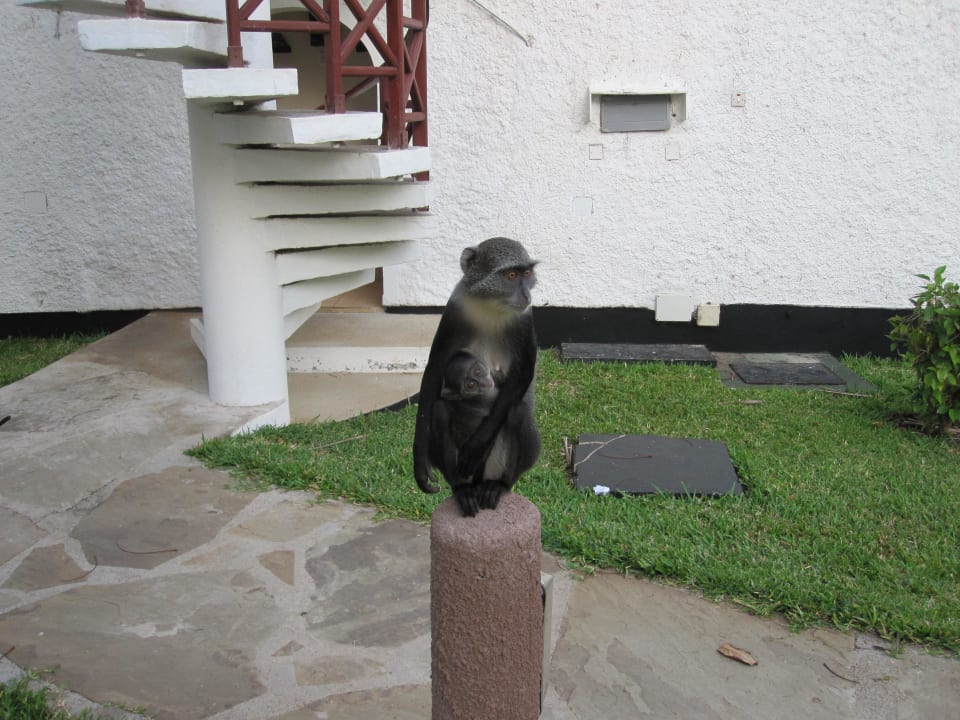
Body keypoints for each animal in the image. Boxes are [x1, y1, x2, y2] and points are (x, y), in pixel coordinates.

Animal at [413, 236, 541, 516]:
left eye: (527, 274)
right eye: (512, 275)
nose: (527, 295)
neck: (491, 305)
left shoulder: (525, 319)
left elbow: (521, 375)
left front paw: (476, 448)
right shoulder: (455, 309)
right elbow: (434, 369)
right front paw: (419, 462)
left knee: (517, 411)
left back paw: (497, 486)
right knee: (439, 410)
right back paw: (462, 489)